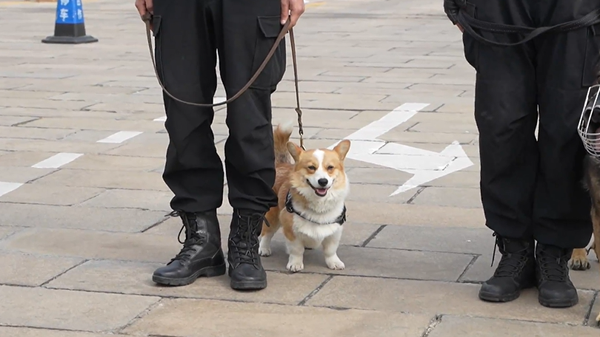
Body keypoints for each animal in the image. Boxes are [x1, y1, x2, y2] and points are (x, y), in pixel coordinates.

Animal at [258, 122, 352, 272]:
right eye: (311, 167)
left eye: (330, 167)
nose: (323, 181)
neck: (319, 203)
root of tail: (282, 164)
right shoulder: (290, 228)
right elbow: (296, 250)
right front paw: (295, 264)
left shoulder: (335, 230)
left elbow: (330, 250)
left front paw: (334, 263)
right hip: (272, 215)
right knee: (267, 232)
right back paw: (264, 249)